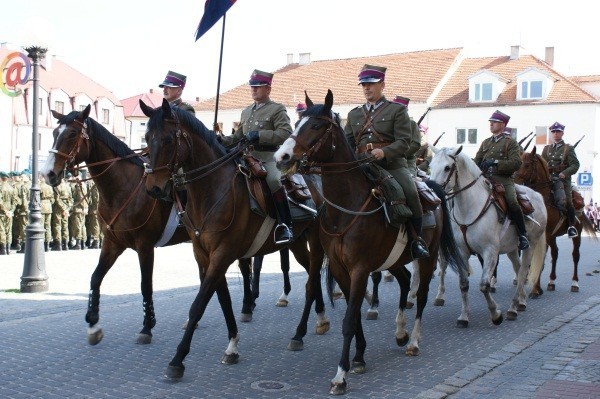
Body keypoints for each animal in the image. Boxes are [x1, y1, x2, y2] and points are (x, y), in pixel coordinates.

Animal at [139, 98, 328, 380]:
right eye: (147, 137)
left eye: (169, 140)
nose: (154, 188)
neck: (212, 190)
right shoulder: (205, 256)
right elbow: (223, 299)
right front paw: (232, 345)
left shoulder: (223, 254)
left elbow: (199, 304)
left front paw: (178, 359)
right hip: (296, 244)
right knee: (311, 276)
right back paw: (318, 319)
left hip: (315, 241)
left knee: (314, 276)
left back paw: (306, 328)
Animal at [274, 91, 468, 396]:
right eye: (296, 122)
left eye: (315, 126)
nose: (281, 156)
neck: (345, 207)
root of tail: (430, 187)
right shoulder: (342, 269)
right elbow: (352, 318)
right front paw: (359, 357)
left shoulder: (361, 269)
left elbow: (349, 319)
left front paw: (341, 375)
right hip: (394, 258)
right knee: (404, 281)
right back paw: (400, 331)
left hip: (427, 257)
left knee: (421, 295)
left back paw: (413, 341)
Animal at [428, 147, 548, 328]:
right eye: (430, 165)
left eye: (447, 167)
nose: (433, 191)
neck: (469, 208)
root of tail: (538, 196)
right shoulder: (462, 252)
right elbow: (463, 284)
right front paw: (464, 316)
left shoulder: (490, 252)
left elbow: (484, 285)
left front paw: (495, 314)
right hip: (512, 249)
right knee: (518, 268)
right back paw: (521, 301)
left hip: (531, 245)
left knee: (522, 273)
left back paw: (512, 308)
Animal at [510, 146, 596, 294]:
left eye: (526, 165)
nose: (515, 183)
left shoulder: (544, 234)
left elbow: (540, 258)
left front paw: (536, 289)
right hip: (553, 236)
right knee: (555, 254)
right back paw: (551, 281)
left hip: (575, 235)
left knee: (575, 255)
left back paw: (575, 283)